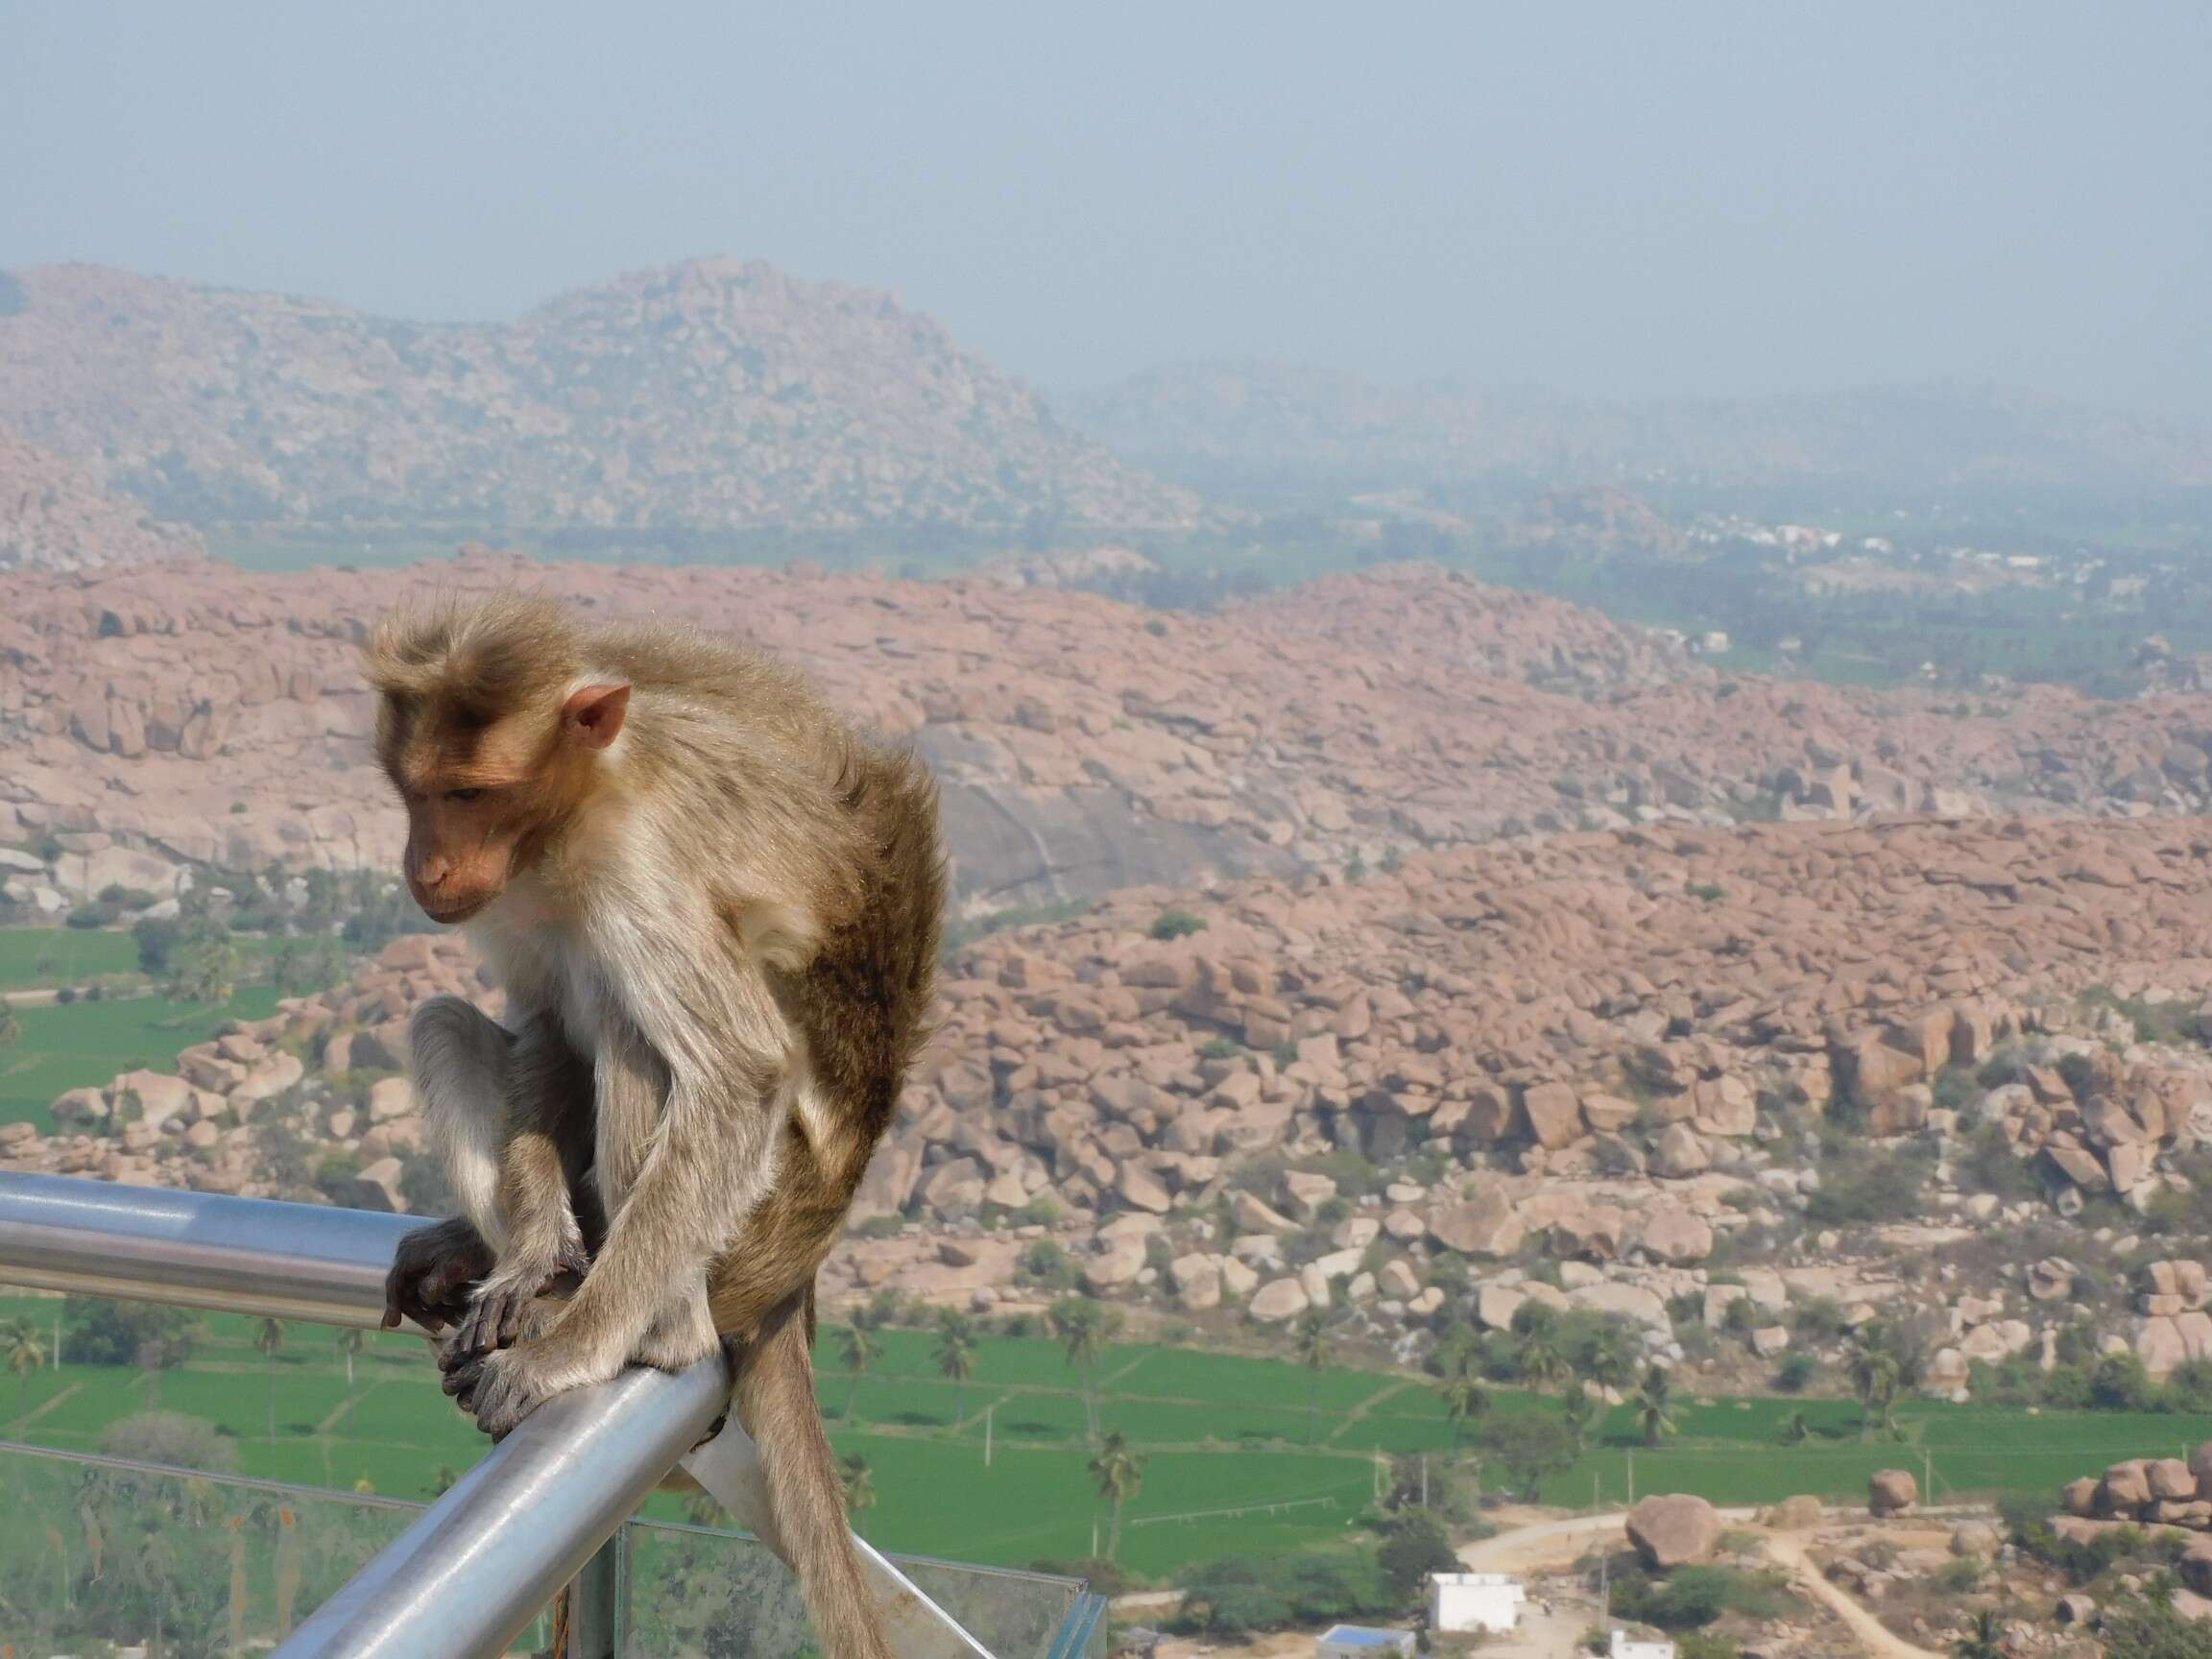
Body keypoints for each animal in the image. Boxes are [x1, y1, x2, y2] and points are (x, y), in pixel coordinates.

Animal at [360, 601, 942, 1659]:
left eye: (468, 793)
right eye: (414, 793)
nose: (425, 861)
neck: (568, 827)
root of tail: (797, 1271)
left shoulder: (647, 864)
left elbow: (740, 1072)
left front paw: (568, 1353)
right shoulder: (518, 896)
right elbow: (547, 1022)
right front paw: (532, 1247)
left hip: (751, 1220)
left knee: (645, 1040)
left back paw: (655, 1331)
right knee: (451, 1024)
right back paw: (529, 1263)